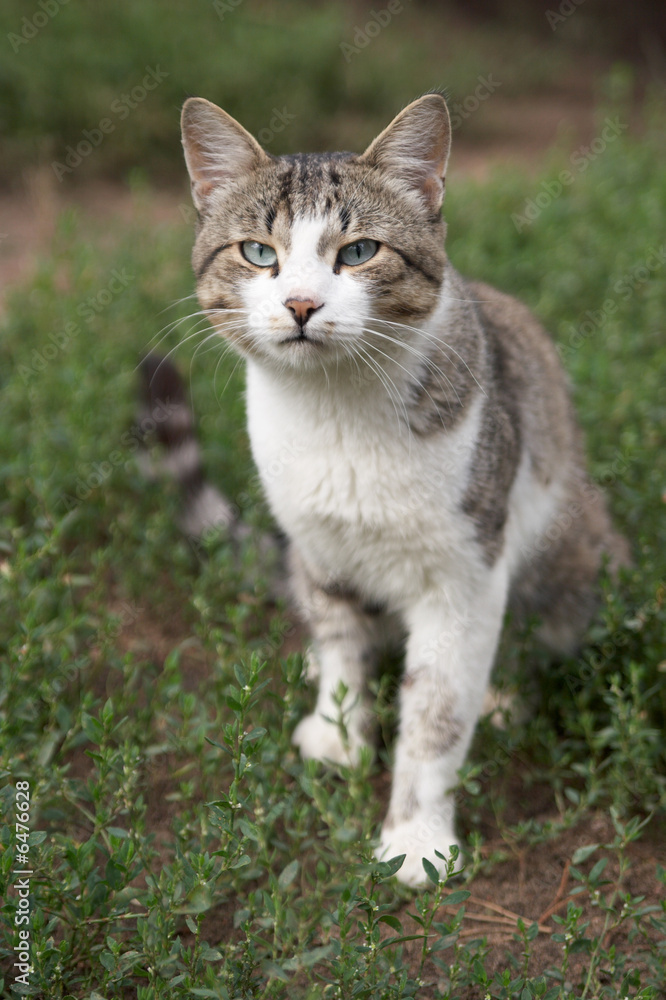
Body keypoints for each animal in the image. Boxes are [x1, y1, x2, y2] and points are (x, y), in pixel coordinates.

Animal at [163, 94, 632, 888]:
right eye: (259, 253)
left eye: (358, 253)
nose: (300, 304)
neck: (336, 416)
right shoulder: (319, 543)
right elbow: (343, 644)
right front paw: (340, 734)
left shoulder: (465, 575)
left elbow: (436, 716)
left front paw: (416, 838)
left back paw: (506, 692)